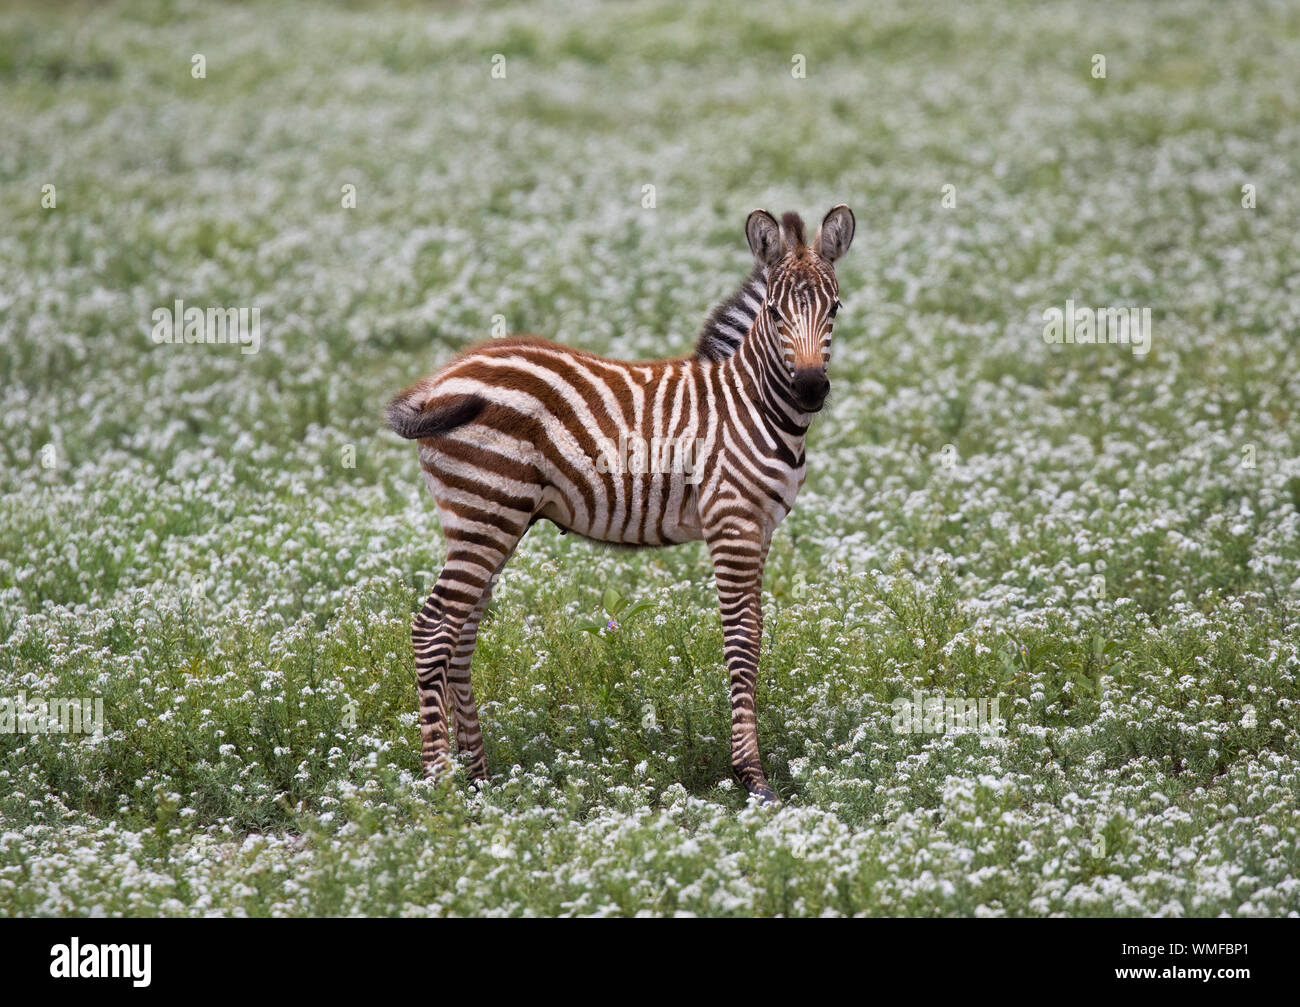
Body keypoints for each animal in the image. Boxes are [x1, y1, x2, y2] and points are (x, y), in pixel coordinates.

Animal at [387, 204, 855, 802]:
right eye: (774, 312)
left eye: (835, 307)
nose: (812, 389)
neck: (752, 404)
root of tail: (440, 378)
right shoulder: (732, 522)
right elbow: (742, 641)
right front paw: (752, 776)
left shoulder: (761, 526)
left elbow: (755, 633)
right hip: (485, 511)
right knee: (433, 629)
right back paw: (439, 785)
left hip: (491, 518)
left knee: (461, 633)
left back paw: (479, 778)